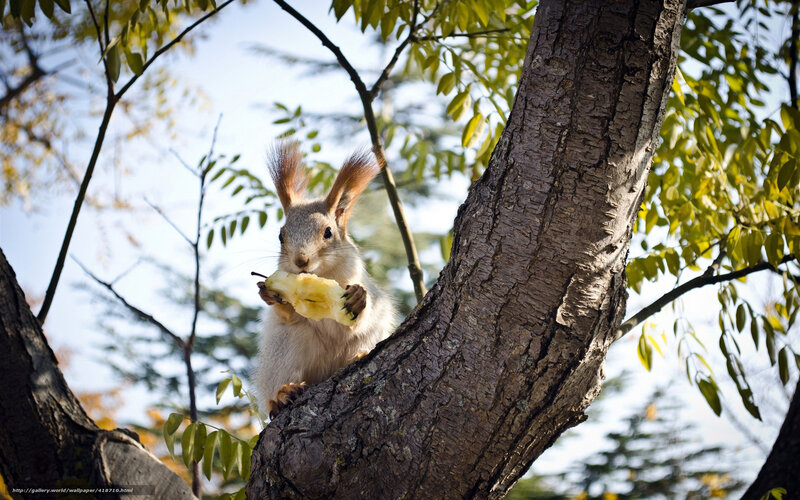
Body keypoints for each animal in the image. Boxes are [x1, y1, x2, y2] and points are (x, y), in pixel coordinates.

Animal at [254, 142, 397, 418]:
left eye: (328, 232)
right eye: (280, 236)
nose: (301, 261)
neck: (322, 275)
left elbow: (354, 321)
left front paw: (357, 299)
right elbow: (289, 315)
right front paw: (269, 295)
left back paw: (357, 356)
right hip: (286, 349)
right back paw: (282, 395)